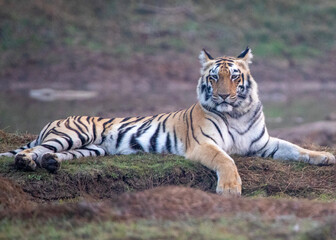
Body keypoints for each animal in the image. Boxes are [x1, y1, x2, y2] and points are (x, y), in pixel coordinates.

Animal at [1, 47, 334, 196]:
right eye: (214, 77)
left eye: (235, 76)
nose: (224, 96)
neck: (236, 113)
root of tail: (56, 119)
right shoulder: (204, 144)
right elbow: (226, 160)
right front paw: (229, 188)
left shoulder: (263, 144)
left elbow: (296, 148)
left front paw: (325, 157)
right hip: (73, 134)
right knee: (32, 150)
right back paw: (27, 162)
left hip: (90, 149)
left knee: (52, 154)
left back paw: (51, 164)